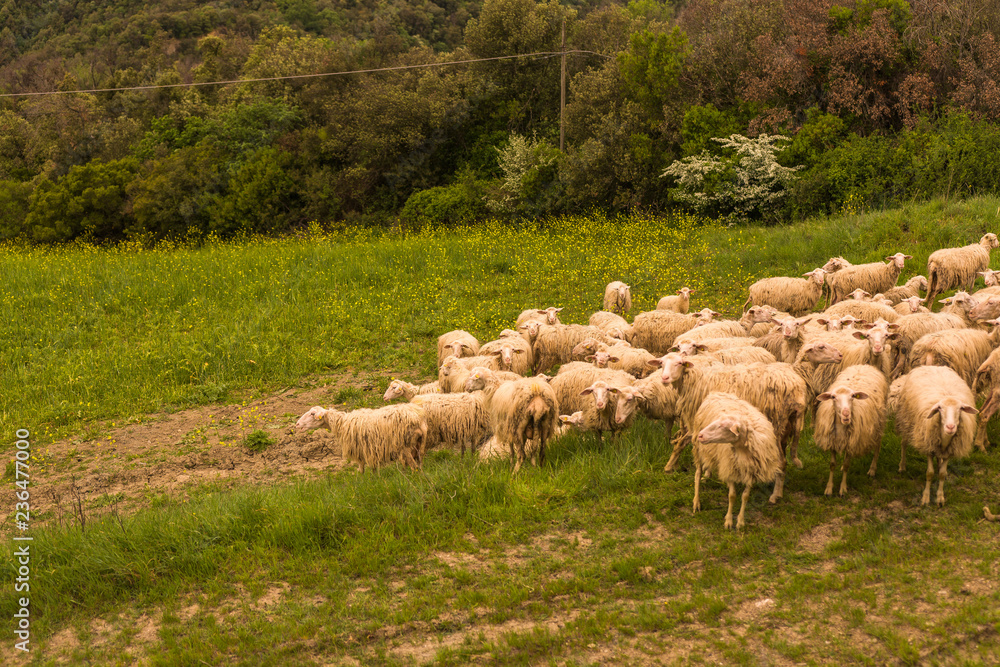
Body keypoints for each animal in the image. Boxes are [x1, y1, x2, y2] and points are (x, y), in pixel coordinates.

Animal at [295, 404, 427, 472]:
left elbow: (362, 467)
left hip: (403, 444)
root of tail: (417, 419)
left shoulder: (360, 448)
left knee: (414, 466)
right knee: (419, 463)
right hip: (420, 443)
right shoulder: (369, 450)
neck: (341, 423)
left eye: (312, 414)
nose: (297, 424)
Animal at [690, 392, 782, 530]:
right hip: (698, 447)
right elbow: (732, 496)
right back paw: (696, 501)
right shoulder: (729, 467)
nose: (701, 435)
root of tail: (715, 392)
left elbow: (745, 496)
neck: (742, 450)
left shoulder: (752, 472)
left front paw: (740, 521)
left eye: (722, 426)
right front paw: (728, 521)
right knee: (697, 473)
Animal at [813, 365, 888, 496]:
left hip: (879, 423)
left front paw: (843, 488)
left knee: (877, 446)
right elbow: (832, 465)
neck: (841, 428)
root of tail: (864, 365)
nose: (846, 414)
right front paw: (829, 488)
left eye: (853, 396)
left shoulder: (850, 443)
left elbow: (847, 464)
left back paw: (872, 469)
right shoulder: (833, 442)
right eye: (833, 397)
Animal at [891, 365, 979, 505]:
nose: (950, 427)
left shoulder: (949, 451)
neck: (945, 439)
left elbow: (942, 473)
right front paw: (925, 498)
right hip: (906, 420)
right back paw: (902, 466)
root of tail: (932, 366)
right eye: (939, 408)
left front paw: (940, 498)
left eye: (960, 408)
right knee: (903, 443)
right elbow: (929, 473)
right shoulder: (928, 446)